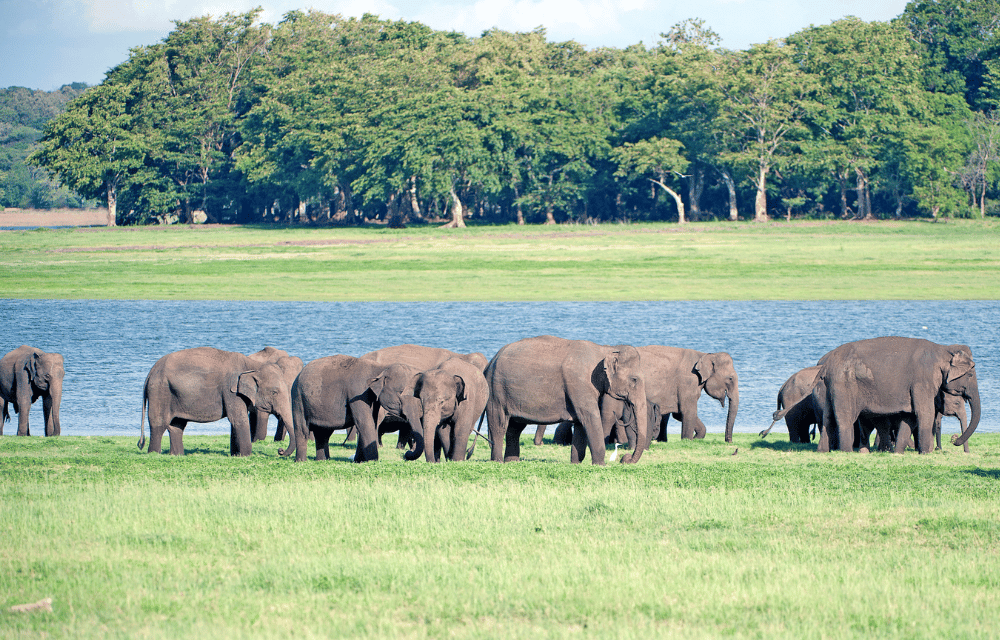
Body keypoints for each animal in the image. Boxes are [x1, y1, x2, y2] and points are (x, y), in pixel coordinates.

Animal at [137, 348, 292, 458]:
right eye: (274, 392)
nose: (280, 450)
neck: (253, 364)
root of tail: (150, 373)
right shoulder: (231, 391)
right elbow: (238, 419)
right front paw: (246, 456)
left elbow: (235, 422)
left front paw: (235, 456)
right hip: (160, 392)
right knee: (159, 424)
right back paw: (154, 454)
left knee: (177, 426)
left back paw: (177, 455)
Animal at [482, 336, 648, 464]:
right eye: (634, 379)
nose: (625, 459)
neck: (604, 349)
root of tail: (491, 360)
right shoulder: (580, 383)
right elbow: (591, 417)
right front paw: (600, 465)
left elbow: (581, 423)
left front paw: (576, 463)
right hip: (495, 391)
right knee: (499, 425)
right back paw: (498, 461)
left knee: (515, 428)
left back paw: (512, 462)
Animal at [808, 338, 980, 452]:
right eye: (971, 375)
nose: (954, 440)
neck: (943, 349)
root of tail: (825, 366)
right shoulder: (922, 380)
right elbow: (925, 412)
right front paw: (926, 453)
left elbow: (910, 416)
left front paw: (899, 453)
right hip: (844, 384)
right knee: (845, 419)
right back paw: (847, 452)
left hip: (828, 388)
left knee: (827, 419)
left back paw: (823, 451)